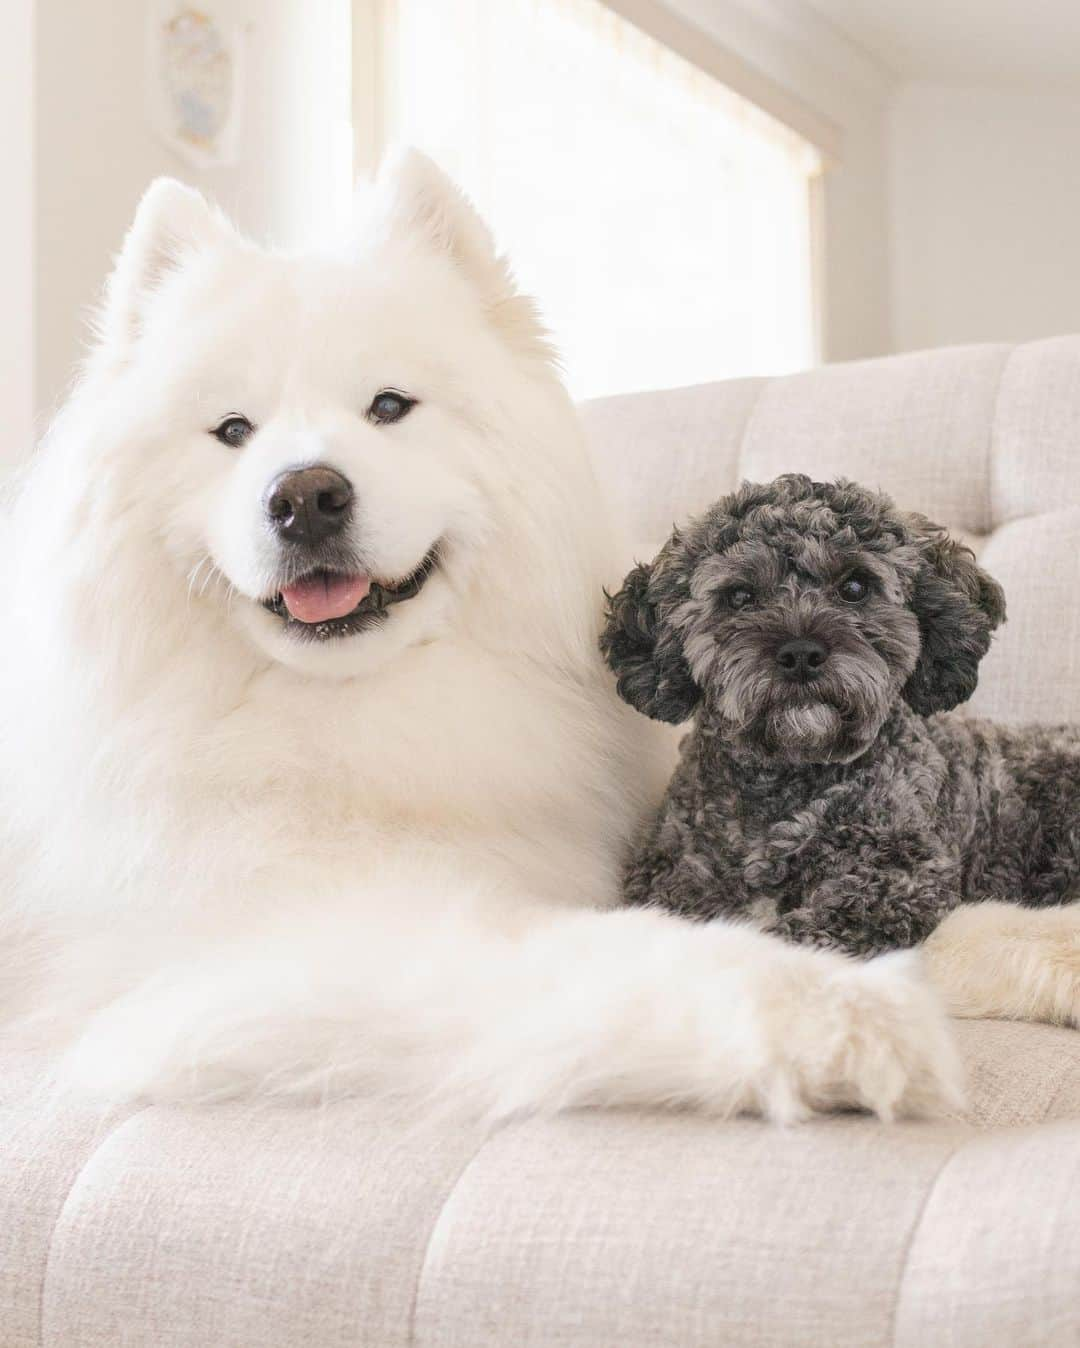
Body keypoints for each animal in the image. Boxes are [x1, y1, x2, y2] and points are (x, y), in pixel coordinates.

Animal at [2, 144, 1019, 1126]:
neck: (358, 720)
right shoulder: (242, 957)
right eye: (231, 431)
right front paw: (852, 1017)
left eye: (389, 407)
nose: (304, 496)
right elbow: (605, 959)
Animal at [601, 474, 1078, 959]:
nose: (800, 654)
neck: (791, 777)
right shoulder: (670, 867)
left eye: (855, 587)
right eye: (739, 596)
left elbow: (805, 931)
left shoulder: (903, 876)